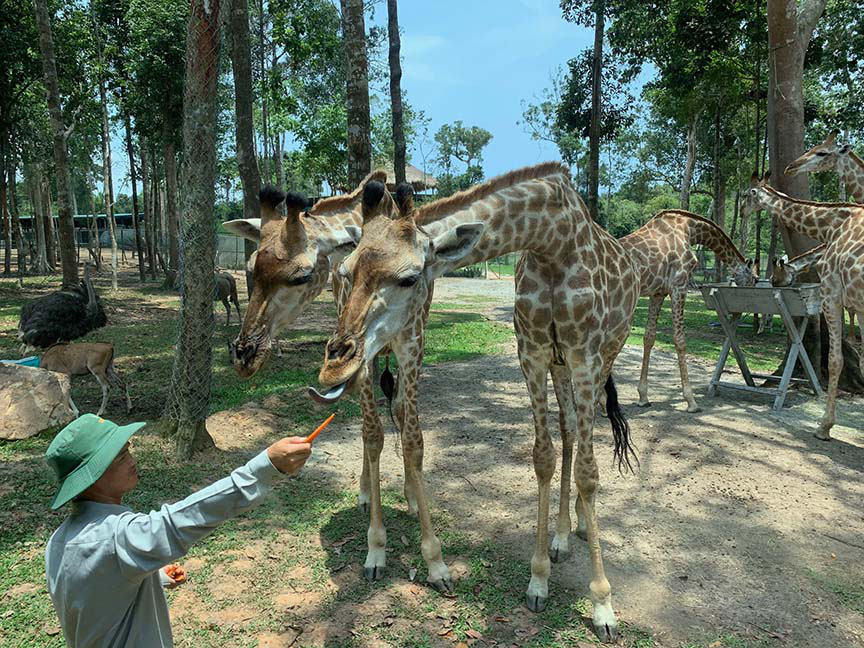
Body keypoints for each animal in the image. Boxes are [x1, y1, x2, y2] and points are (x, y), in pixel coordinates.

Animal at [314, 165, 636, 640]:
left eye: (409, 278)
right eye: (347, 272)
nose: (333, 368)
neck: (553, 242)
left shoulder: (586, 355)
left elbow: (589, 473)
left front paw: (603, 607)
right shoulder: (532, 352)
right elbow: (543, 456)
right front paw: (539, 581)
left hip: (603, 357)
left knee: (583, 436)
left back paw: (575, 527)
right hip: (559, 367)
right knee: (567, 432)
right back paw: (560, 537)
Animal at [620, 210, 756, 412]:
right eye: (755, 279)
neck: (690, 230)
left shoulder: (658, 292)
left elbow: (649, 337)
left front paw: (643, 397)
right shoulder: (678, 286)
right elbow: (680, 340)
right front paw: (691, 401)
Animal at [740, 175, 860, 440]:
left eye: (746, 194)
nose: (741, 211)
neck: (832, 227)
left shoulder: (832, 292)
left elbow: (835, 360)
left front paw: (824, 427)